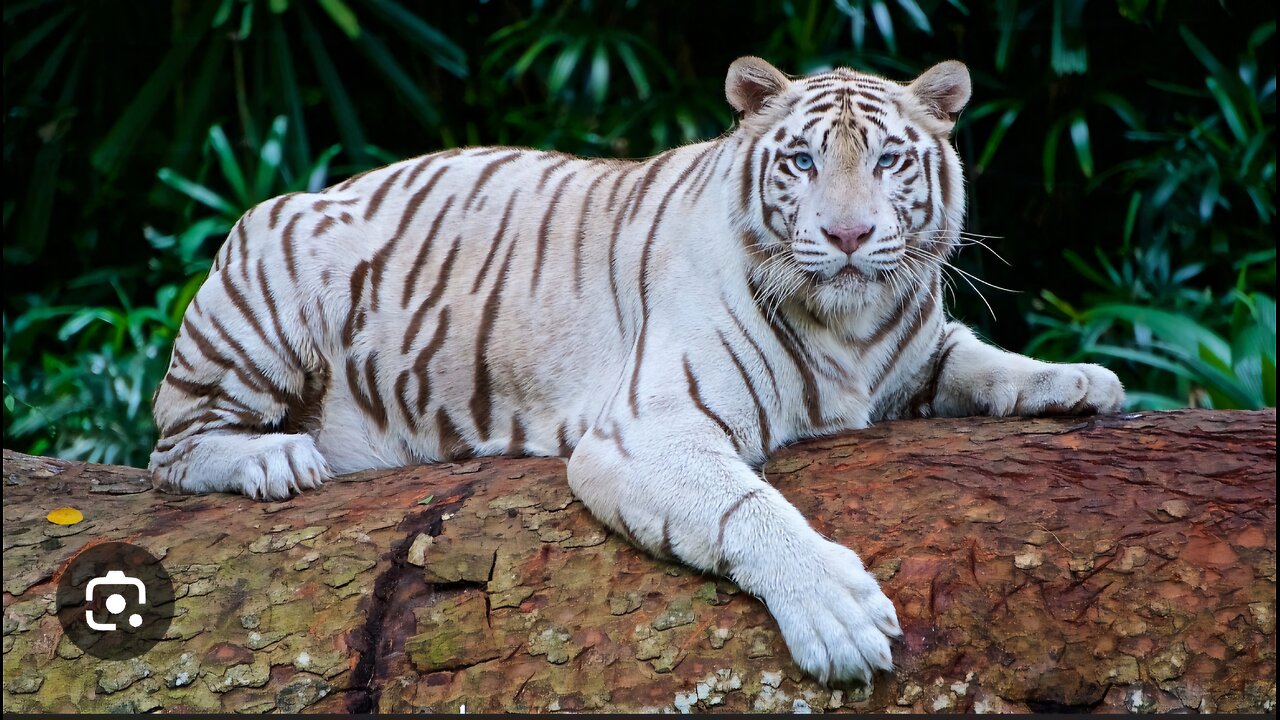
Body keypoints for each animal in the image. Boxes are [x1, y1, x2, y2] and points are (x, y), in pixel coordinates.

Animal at [154, 56, 1126, 676]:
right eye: (802, 160)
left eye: (889, 159)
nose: (849, 236)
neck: (851, 326)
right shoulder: (650, 430)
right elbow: (748, 508)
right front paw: (839, 616)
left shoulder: (919, 351)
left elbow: (984, 360)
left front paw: (1081, 379)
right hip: (269, 281)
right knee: (173, 448)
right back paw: (275, 459)